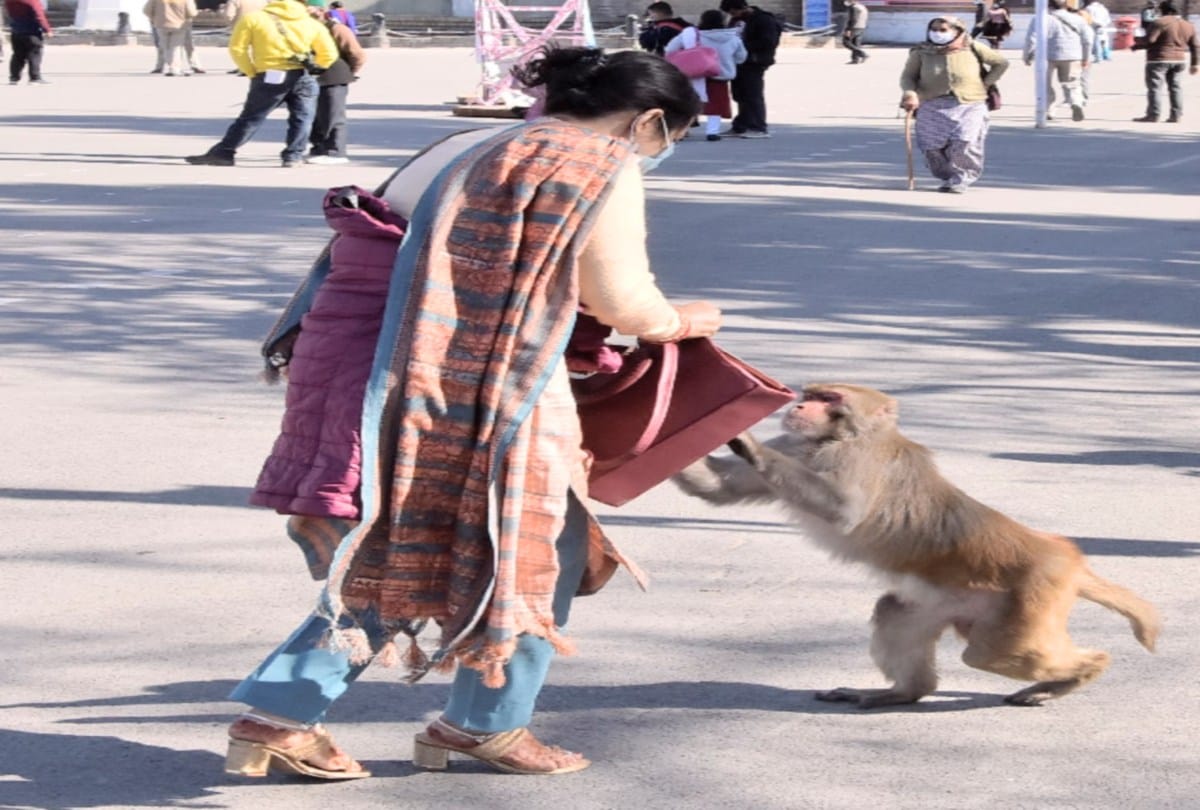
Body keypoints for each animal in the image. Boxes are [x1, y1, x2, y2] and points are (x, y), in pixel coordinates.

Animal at [674, 383, 1160, 708]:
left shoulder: (856, 460)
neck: (839, 438)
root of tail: (1064, 555)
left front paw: (749, 442)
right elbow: (715, 489)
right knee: (895, 613)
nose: (799, 405)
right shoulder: (795, 445)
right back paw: (904, 693)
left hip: (1031, 598)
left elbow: (842, 510)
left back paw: (1085, 670)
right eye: (811, 393)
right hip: (948, 602)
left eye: (829, 398)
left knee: (993, 654)